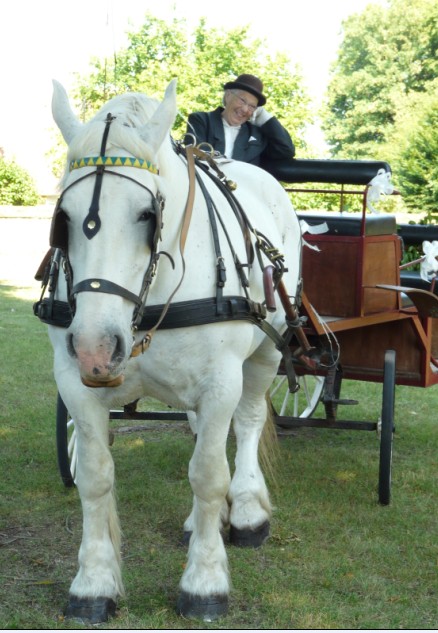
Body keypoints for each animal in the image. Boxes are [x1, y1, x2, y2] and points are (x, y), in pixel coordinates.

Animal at [47, 80, 302, 624]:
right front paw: (93, 583)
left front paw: (204, 582)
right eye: (64, 218)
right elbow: (95, 477)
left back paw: (245, 510)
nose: (96, 346)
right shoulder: (75, 381)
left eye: (147, 215)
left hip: (266, 353)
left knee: (247, 424)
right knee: (203, 432)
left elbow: (207, 474)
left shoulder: (222, 380)